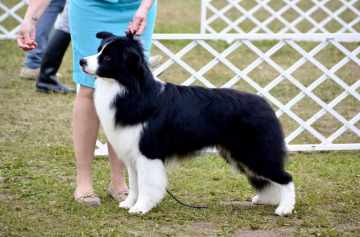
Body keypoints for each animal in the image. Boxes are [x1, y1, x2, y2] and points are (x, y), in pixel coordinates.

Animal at [79, 32, 296, 217]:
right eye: (99, 50)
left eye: (108, 57)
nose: (81, 61)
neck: (130, 89)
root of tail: (265, 104)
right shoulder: (132, 153)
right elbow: (134, 184)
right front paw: (129, 203)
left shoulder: (147, 152)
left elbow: (147, 184)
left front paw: (141, 208)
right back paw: (264, 199)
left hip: (254, 151)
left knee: (285, 177)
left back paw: (285, 208)